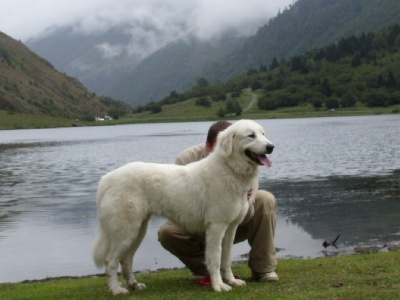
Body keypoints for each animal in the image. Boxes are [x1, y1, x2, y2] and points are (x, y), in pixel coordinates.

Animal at [92, 119, 274, 296]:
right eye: (251, 135)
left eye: (263, 134)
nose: (271, 147)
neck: (229, 168)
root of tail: (106, 179)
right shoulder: (216, 227)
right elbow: (215, 260)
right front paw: (219, 286)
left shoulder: (230, 228)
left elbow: (226, 258)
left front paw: (232, 281)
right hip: (125, 232)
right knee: (111, 261)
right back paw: (116, 289)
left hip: (137, 231)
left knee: (126, 259)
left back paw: (134, 285)